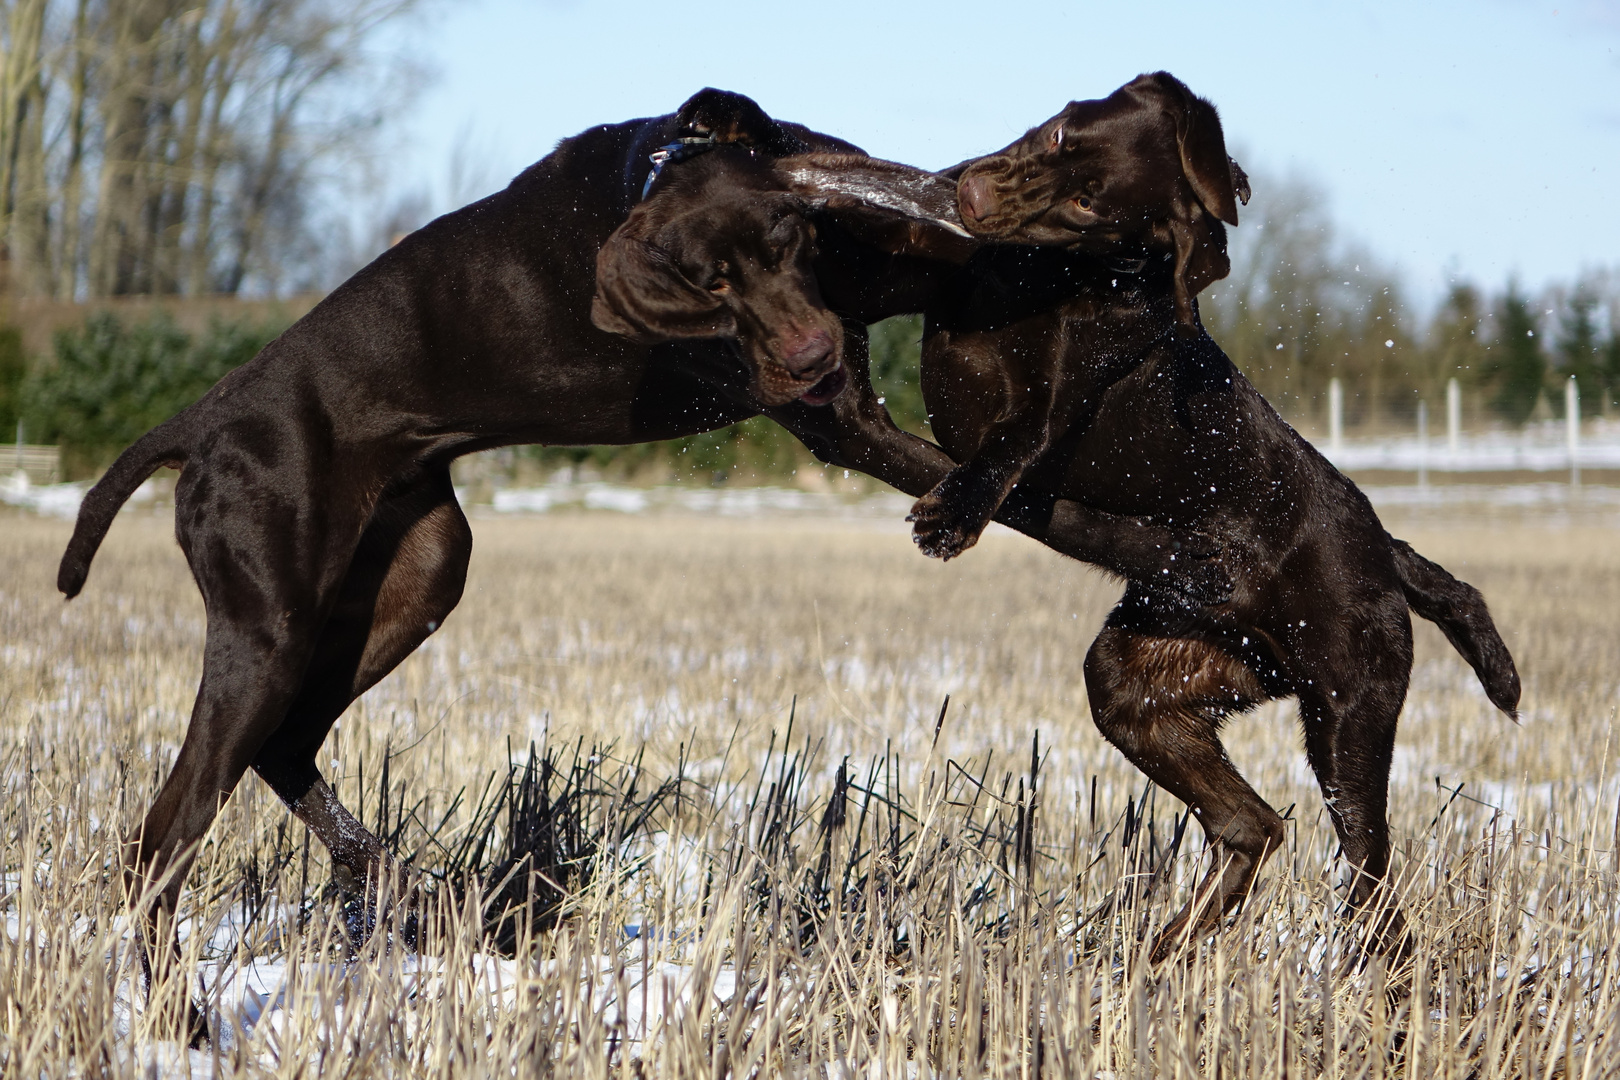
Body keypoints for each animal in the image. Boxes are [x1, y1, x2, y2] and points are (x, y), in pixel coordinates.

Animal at [57, 90, 1218, 1036]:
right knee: (161, 837)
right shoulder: (839, 421)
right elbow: (1046, 509)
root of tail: (202, 419)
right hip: (269, 620)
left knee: (288, 744)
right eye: (704, 282)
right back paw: (184, 1020)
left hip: (416, 570)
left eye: (788, 237)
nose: (809, 356)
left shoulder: (887, 274)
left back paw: (394, 883)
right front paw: (1168, 540)